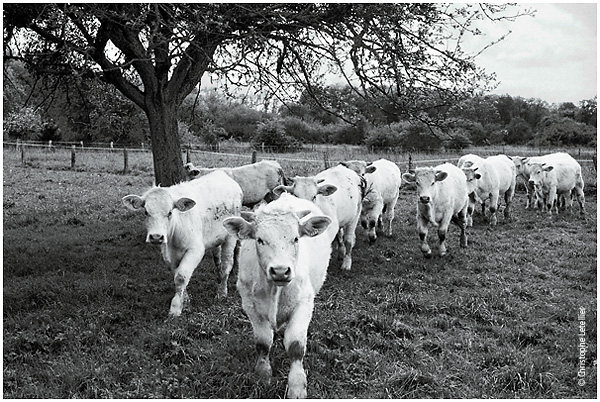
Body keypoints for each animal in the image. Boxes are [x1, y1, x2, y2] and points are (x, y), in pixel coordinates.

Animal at [122, 170, 244, 318]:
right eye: (146, 212)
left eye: (170, 212)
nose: (156, 237)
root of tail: (221, 173)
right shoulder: (169, 255)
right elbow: (177, 275)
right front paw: (184, 300)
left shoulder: (196, 250)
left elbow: (181, 277)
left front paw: (175, 308)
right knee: (218, 261)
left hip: (230, 238)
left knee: (227, 265)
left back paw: (222, 293)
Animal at [223, 192, 332, 398]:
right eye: (259, 240)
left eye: (296, 239)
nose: (280, 271)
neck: (275, 290)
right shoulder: (250, 305)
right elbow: (263, 342)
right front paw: (263, 374)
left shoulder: (304, 304)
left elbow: (296, 345)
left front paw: (297, 387)